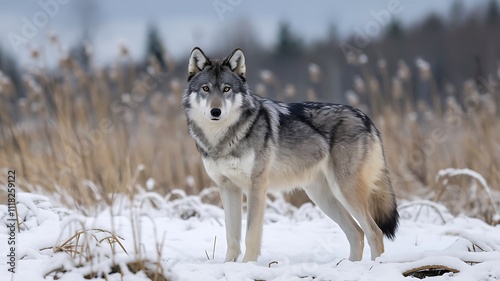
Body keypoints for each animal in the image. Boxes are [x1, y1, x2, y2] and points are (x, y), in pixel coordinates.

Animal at [181, 47, 398, 262]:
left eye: (226, 89)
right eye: (206, 89)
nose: (215, 111)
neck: (222, 139)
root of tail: (366, 118)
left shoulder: (256, 187)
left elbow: (251, 235)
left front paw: (247, 265)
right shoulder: (227, 188)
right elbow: (231, 237)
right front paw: (229, 266)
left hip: (344, 191)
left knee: (374, 232)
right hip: (322, 196)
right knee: (356, 233)